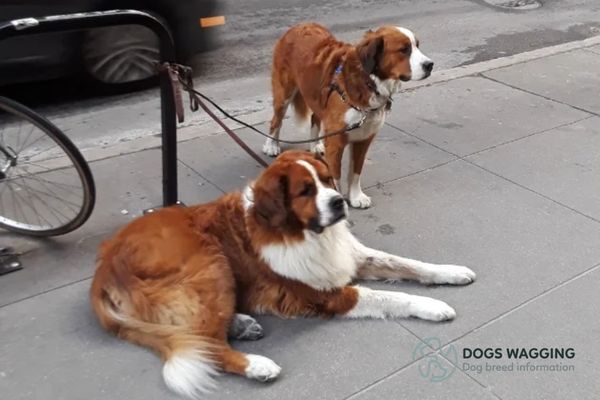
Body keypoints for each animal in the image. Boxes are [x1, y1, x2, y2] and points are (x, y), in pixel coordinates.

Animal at [90, 151, 474, 400]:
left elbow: (407, 264)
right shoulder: (327, 295)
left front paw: (451, 272)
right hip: (211, 263)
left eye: (328, 180)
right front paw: (433, 306)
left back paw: (242, 325)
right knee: (208, 345)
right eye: (306, 191)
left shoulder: (351, 257)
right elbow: (392, 296)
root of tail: (105, 263)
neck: (301, 233)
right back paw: (257, 365)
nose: (339, 202)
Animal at [262, 23, 432, 209]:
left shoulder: (364, 138)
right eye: (404, 50)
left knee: (315, 118)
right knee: (276, 121)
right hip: (284, 94)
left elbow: (356, 171)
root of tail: (300, 25)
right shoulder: (336, 141)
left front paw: (356, 196)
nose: (430, 65)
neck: (369, 81)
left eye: (417, 46)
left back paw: (315, 145)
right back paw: (271, 145)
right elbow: (335, 175)